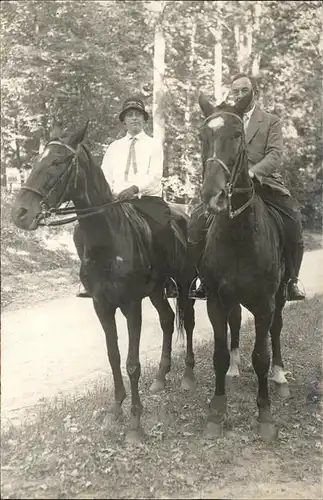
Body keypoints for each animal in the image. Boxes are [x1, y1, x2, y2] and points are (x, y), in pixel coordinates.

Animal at [10, 123, 197, 444]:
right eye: (38, 159)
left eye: (58, 161)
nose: (20, 213)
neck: (108, 239)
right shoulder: (102, 305)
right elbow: (113, 356)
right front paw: (115, 410)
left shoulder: (131, 305)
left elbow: (132, 363)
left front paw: (135, 424)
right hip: (156, 291)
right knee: (167, 319)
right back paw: (161, 377)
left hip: (184, 286)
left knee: (188, 320)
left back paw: (186, 376)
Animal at [197, 94, 292, 442]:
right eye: (203, 135)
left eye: (238, 134)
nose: (213, 198)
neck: (238, 233)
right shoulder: (215, 299)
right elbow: (219, 353)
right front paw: (216, 411)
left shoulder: (264, 303)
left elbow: (261, 356)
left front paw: (264, 415)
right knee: (236, 323)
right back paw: (235, 369)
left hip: (279, 297)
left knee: (276, 331)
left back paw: (280, 377)